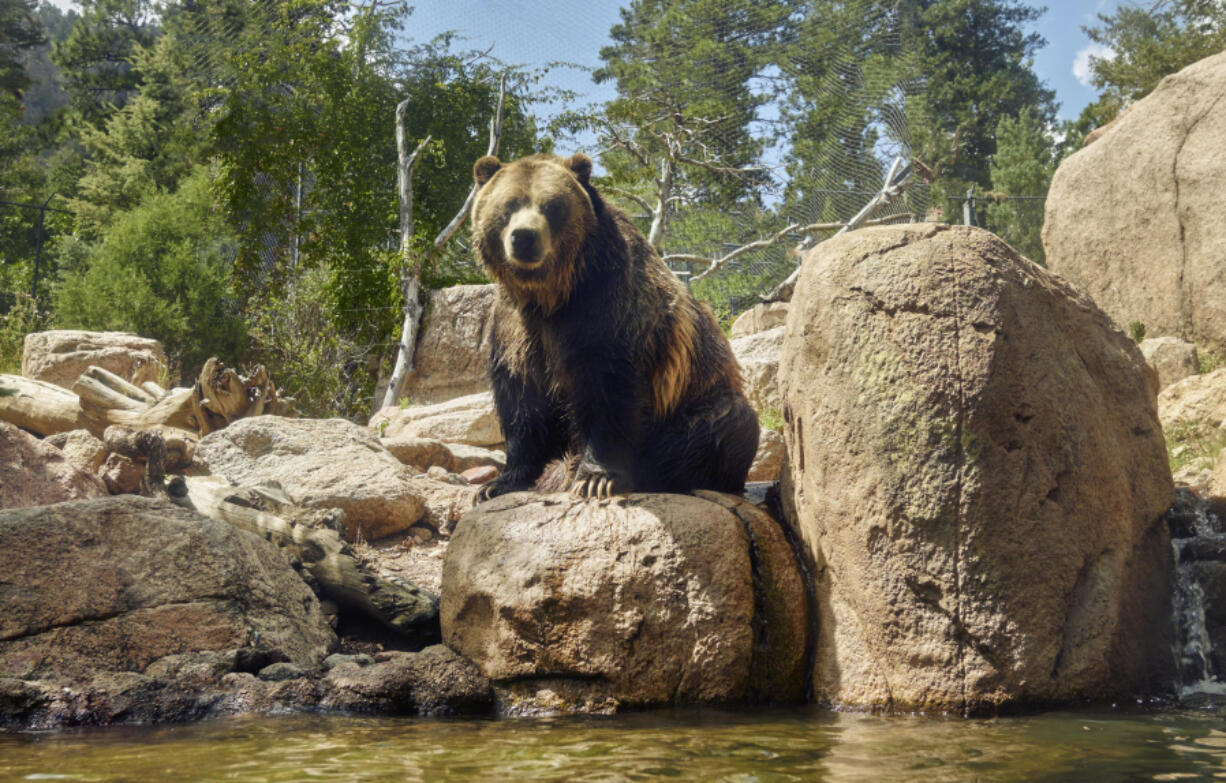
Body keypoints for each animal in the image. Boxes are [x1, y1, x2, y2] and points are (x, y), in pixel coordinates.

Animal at [468, 153, 755, 502]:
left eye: (551, 206)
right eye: (509, 205)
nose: (524, 237)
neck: (549, 295)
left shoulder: (606, 309)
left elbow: (607, 391)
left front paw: (597, 478)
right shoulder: (514, 328)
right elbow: (522, 402)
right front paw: (498, 483)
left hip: (692, 406)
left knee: (728, 424)